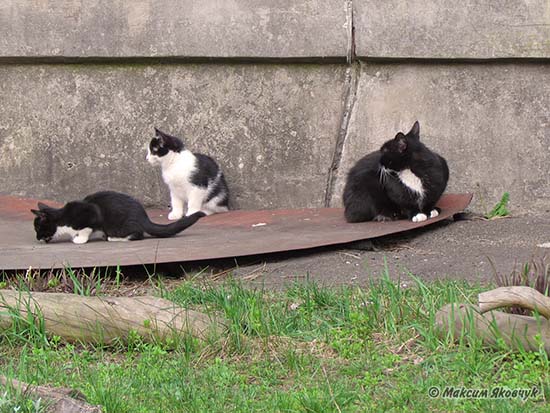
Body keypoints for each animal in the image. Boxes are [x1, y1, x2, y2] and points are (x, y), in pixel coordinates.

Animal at [31, 191, 206, 243]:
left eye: (38, 228)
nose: (37, 238)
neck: (63, 219)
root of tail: (144, 217)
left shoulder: (92, 213)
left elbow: (86, 229)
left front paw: (79, 239)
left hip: (121, 225)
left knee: (138, 234)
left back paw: (113, 238)